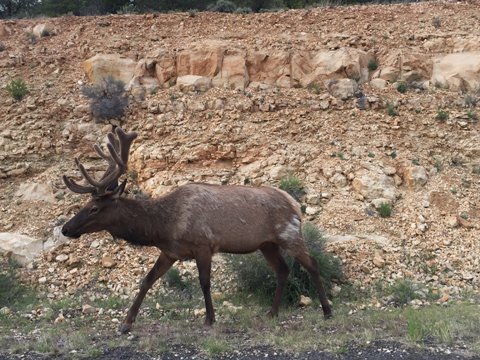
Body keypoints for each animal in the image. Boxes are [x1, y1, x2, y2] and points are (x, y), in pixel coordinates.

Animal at [62, 127, 332, 334]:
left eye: (94, 208)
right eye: (85, 204)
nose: (66, 229)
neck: (164, 227)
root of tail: (294, 203)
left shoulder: (204, 245)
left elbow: (204, 282)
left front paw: (210, 319)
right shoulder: (170, 252)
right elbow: (147, 280)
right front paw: (126, 323)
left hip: (289, 234)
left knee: (312, 264)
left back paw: (327, 311)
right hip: (267, 244)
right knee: (283, 270)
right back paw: (272, 312)